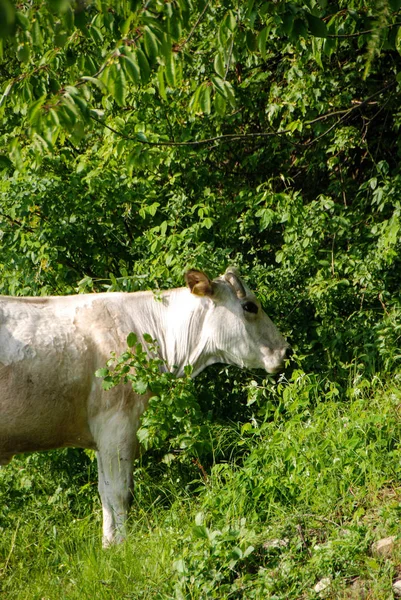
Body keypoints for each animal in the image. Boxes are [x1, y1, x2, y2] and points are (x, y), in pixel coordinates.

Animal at [0, 270, 288, 548]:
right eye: (250, 306)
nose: (285, 350)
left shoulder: (103, 435)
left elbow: (104, 492)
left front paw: (108, 546)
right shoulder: (118, 424)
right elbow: (120, 492)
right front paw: (122, 546)